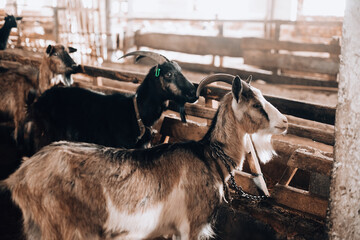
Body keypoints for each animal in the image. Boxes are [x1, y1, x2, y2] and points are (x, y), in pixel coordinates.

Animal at [27, 50, 197, 151]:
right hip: (46, 132)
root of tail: (40, 100)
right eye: (168, 74)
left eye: (180, 71)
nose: (193, 92)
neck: (136, 113)